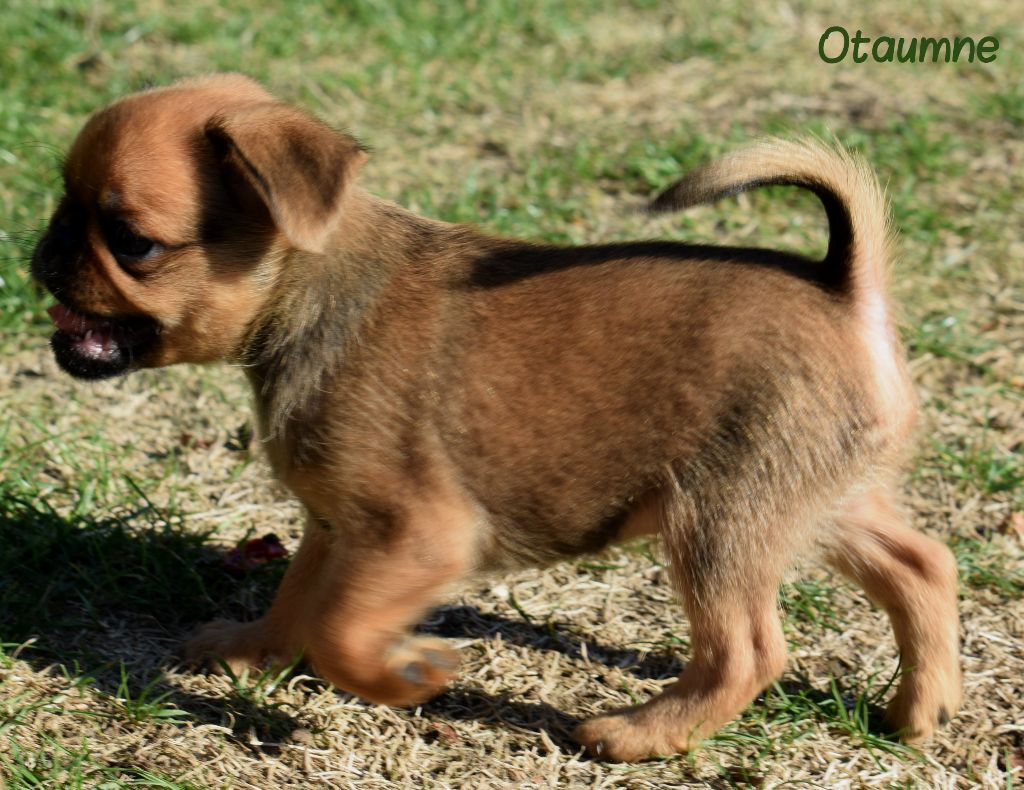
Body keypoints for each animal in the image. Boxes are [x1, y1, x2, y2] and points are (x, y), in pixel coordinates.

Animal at [31, 73, 961, 760]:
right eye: (63, 200)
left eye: (131, 239)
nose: (43, 249)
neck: (311, 290)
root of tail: (847, 287)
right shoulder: (338, 526)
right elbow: (301, 596)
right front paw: (254, 646)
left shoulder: (418, 534)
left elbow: (338, 629)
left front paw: (405, 676)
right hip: (821, 498)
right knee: (922, 563)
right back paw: (921, 709)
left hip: (721, 518)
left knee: (749, 650)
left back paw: (640, 734)